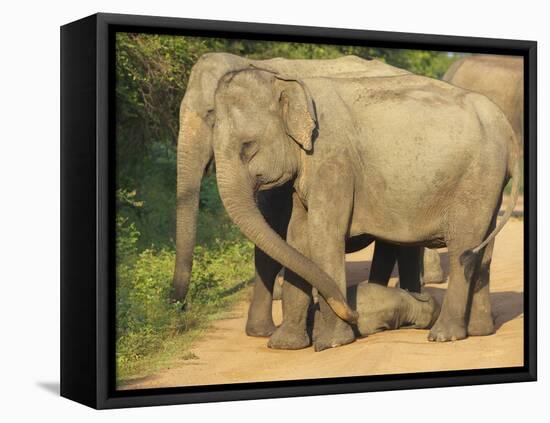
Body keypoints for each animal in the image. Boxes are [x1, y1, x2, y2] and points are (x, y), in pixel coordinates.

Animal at [172, 53, 426, 338]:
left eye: (211, 115)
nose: (179, 309)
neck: (254, 64)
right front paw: (261, 333)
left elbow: (273, 226)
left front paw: (263, 331)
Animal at [211, 67, 520, 352]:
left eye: (247, 146)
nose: (354, 311)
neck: (289, 84)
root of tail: (508, 131)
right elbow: (296, 238)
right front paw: (285, 346)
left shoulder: (333, 161)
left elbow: (324, 235)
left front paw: (333, 343)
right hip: (487, 185)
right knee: (482, 251)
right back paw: (479, 331)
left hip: (476, 178)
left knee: (462, 249)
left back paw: (443, 336)